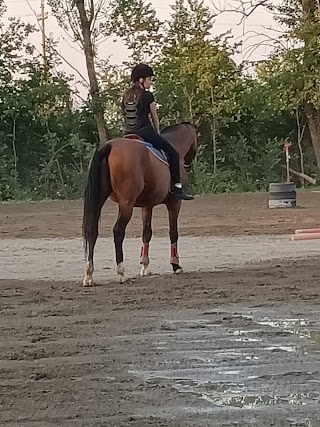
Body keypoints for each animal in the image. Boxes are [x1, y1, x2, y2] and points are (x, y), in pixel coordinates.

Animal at [81, 120, 199, 288]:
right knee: (118, 231)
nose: (188, 163)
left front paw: (144, 266)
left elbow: (146, 233)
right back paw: (121, 272)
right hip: (126, 203)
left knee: (92, 231)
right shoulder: (175, 203)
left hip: (99, 200)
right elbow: (173, 232)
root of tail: (109, 146)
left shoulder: (147, 205)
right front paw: (175, 265)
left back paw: (89, 275)